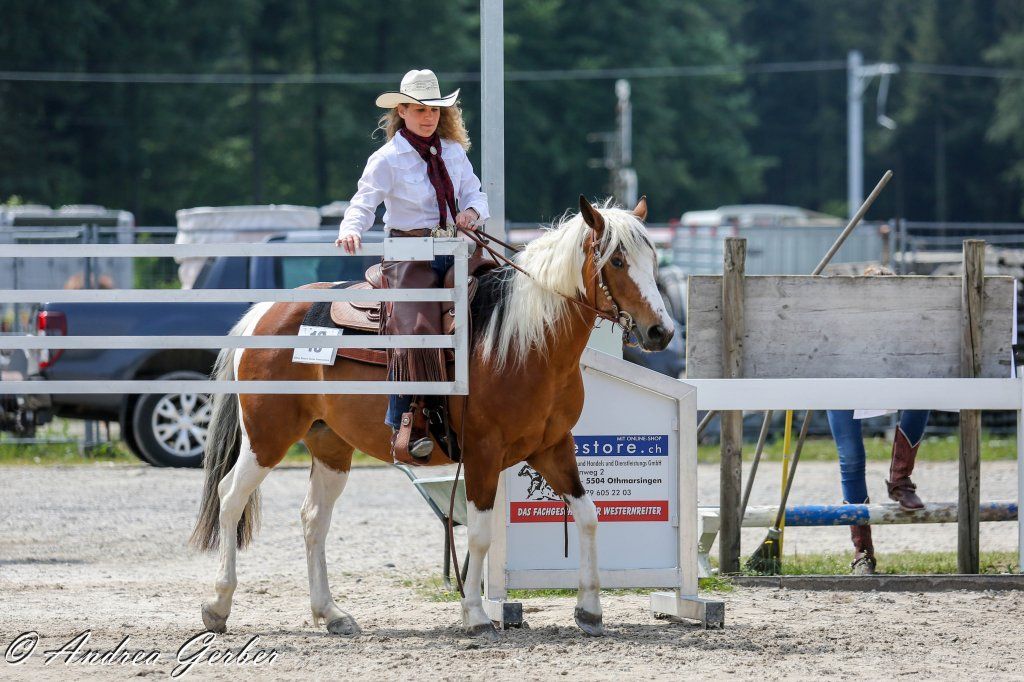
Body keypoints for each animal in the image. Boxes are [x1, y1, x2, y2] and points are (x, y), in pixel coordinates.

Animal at [189, 195, 675, 639]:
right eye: (617, 260)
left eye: (653, 259)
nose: (662, 331)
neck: (524, 341)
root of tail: (263, 313)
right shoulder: (482, 453)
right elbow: (479, 534)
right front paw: (476, 615)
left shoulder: (553, 448)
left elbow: (590, 516)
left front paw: (589, 610)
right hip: (267, 437)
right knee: (230, 497)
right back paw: (217, 605)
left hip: (330, 446)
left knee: (313, 519)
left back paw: (331, 613)